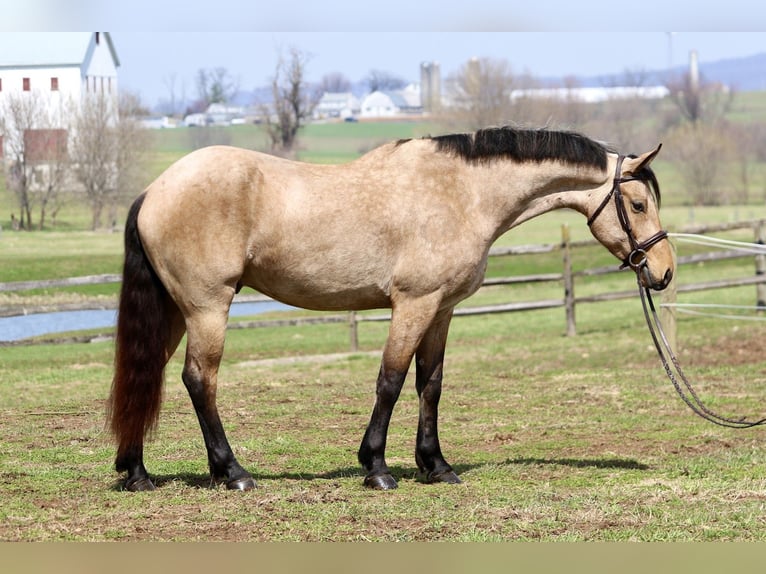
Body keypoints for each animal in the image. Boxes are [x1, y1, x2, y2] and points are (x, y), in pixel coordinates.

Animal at [108, 126, 674, 492]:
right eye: (639, 205)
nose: (664, 271)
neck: (462, 193)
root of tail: (154, 190)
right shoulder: (413, 304)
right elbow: (392, 380)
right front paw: (376, 467)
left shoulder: (441, 311)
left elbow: (430, 384)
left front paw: (436, 465)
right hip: (208, 308)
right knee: (199, 380)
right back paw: (233, 473)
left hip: (176, 311)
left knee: (147, 374)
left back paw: (137, 473)